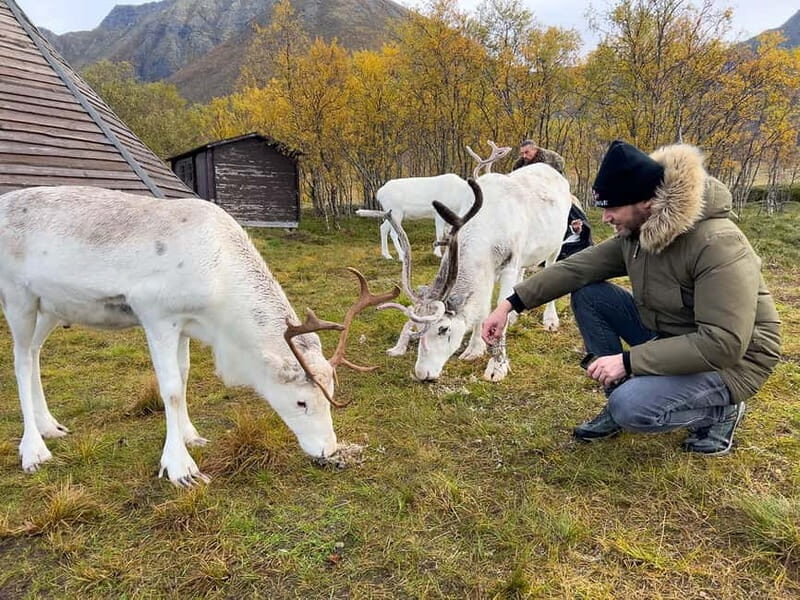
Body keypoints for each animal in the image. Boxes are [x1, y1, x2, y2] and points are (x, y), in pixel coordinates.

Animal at [0, 186, 398, 486]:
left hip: (49, 306)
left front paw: (191, 435)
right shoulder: (155, 314)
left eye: (331, 392)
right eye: (301, 402)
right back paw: (34, 449)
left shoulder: (185, 324)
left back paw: (50, 426)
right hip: (18, 296)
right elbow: (171, 389)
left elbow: (185, 375)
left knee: (34, 353)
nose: (328, 450)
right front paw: (180, 466)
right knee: (19, 362)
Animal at [364, 162, 572, 382]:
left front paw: (497, 367)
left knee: (551, 270)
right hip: (525, 256)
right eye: (417, 328)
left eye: (443, 328)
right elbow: (483, 307)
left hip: (556, 243)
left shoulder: (508, 263)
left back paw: (550, 320)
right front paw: (474, 349)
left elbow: (499, 308)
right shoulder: (489, 269)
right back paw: (516, 315)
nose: (422, 373)